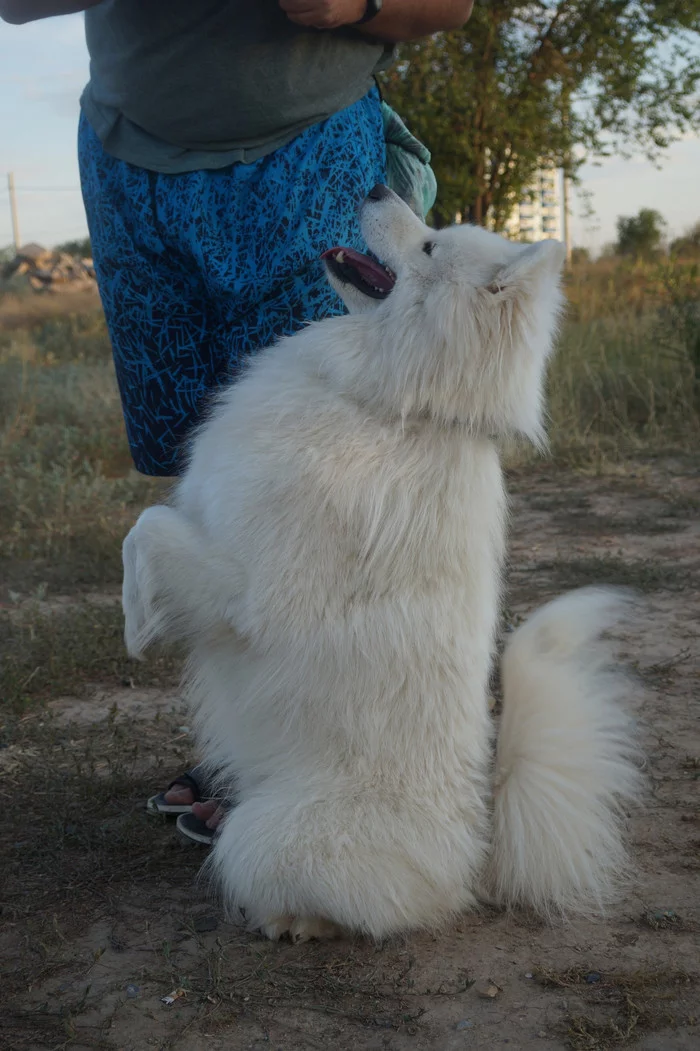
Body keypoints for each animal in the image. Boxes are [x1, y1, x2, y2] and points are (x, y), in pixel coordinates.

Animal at [121, 184, 639, 941]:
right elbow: (145, 527)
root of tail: (477, 853)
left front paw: (135, 626)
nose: (376, 187)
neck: (393, 404)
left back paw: (292, 922)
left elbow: (146, 530)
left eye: (428, 245)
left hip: (261, 836)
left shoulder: (245, 592)